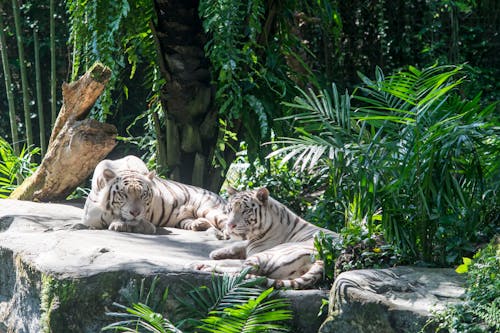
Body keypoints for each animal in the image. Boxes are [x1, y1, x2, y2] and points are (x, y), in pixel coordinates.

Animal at [83, 154, 228, 235]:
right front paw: (119, 224)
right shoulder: (90, 217)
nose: (135, 213)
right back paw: (199, 224)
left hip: (210, 210)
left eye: (143, 194)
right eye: (124, 194)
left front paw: (129, 225)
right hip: (184, 220)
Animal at [195, 187, 340, 288]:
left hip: (269, 254)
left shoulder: (255, 250)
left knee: (243, 269)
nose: (230, 225)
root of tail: (324, 261)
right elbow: (238, 245)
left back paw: (202, 266)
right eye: (230, 209)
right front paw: (216, 252)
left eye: (245, 210)